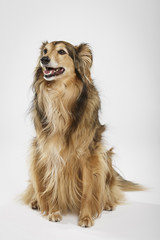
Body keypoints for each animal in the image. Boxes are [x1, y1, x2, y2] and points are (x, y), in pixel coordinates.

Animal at [21, 40, 143, 227]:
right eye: (45, 51)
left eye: (62, 52)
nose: (44, 59)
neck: (60, 95)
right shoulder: (49, 152)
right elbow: (52, 185)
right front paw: (54, 211)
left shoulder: (89, 156)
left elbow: (88, 191)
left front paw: (85, 217)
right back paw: (37, 201)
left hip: (105, 155)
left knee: (107, 187)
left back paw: (107, 202)